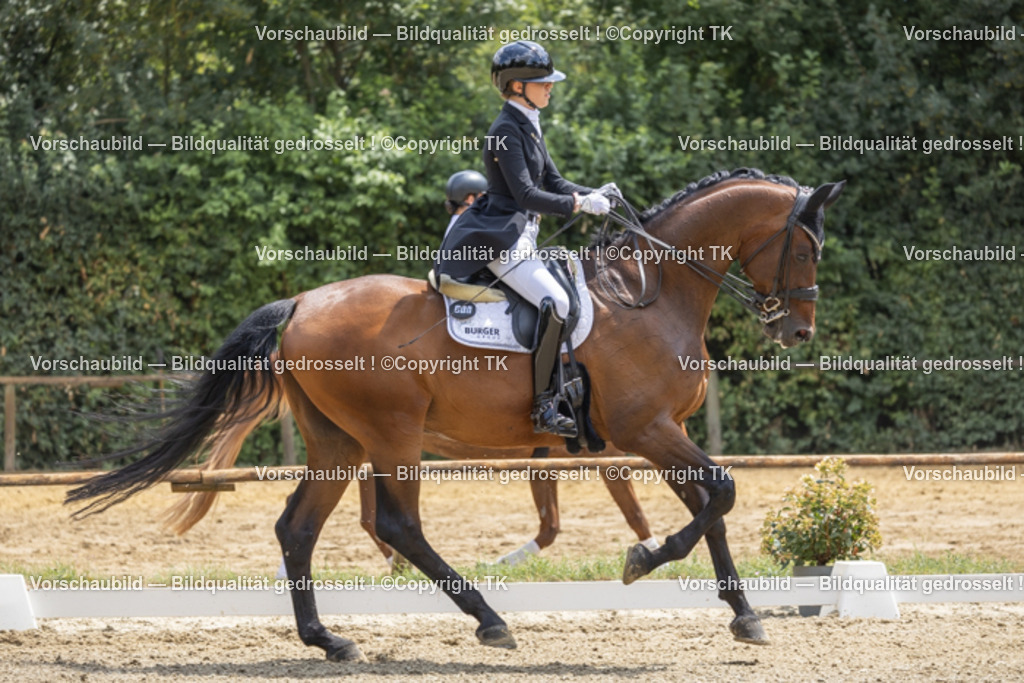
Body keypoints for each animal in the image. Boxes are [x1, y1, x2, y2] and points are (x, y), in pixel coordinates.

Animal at [67, 168, 844, 662]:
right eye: (807, 245)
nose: (798, 330)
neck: (648, 293)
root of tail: (301, 303)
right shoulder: (645, 430)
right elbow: (721, 494)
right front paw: (641, 562)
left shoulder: (662, 433)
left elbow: (713, 503)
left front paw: (744, 615)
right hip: (391, 433)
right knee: (397, 525)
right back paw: (491, 621)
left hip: (339, 440)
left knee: (297, 528)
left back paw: (329, 640)